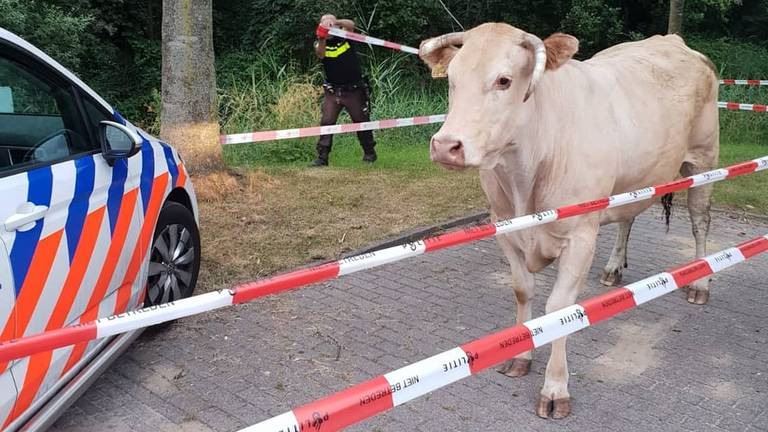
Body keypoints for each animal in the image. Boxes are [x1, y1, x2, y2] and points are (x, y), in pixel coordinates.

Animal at [416, 23, 716, 418]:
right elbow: (522, 290)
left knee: (699, 222)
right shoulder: (504, 228)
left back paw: (700, 282)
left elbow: (558, 309)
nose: (445, 145)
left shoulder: (580, 236)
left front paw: (555, 388)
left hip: (704, 160)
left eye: (504, 80)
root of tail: (672, 41)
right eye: (451, 79)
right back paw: (613, 268)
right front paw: (521, 356)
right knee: (627, 220)